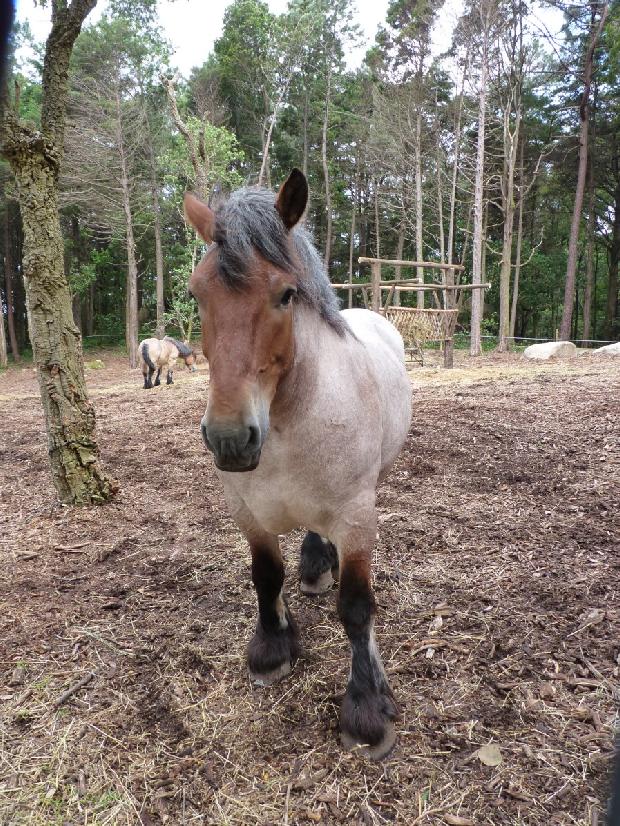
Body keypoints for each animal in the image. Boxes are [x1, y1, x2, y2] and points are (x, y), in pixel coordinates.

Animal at [184, 169, 412, 759]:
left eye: (286, 294)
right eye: (197, 294)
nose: (229, 437)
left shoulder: (357, 516)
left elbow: (356, 608)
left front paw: (367, 710)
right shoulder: (247, 512)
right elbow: (266, 576)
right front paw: (272, 650)